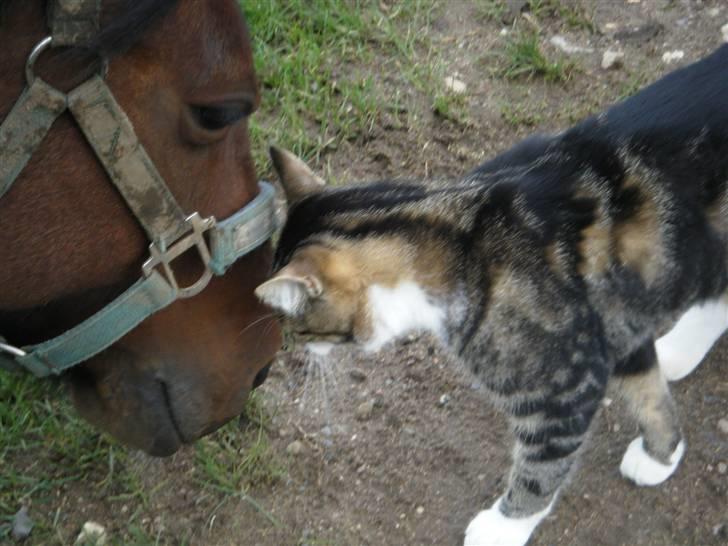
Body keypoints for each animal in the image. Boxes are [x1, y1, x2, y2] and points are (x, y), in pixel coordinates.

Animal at [256, 44, 728, 540]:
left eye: (299, 328)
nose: (298, 350)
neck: (456, 237)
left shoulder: (564, 384)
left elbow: (542, 469)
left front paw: (504, 527)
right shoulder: (613, 322)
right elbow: (648, 392)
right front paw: (664, 454)